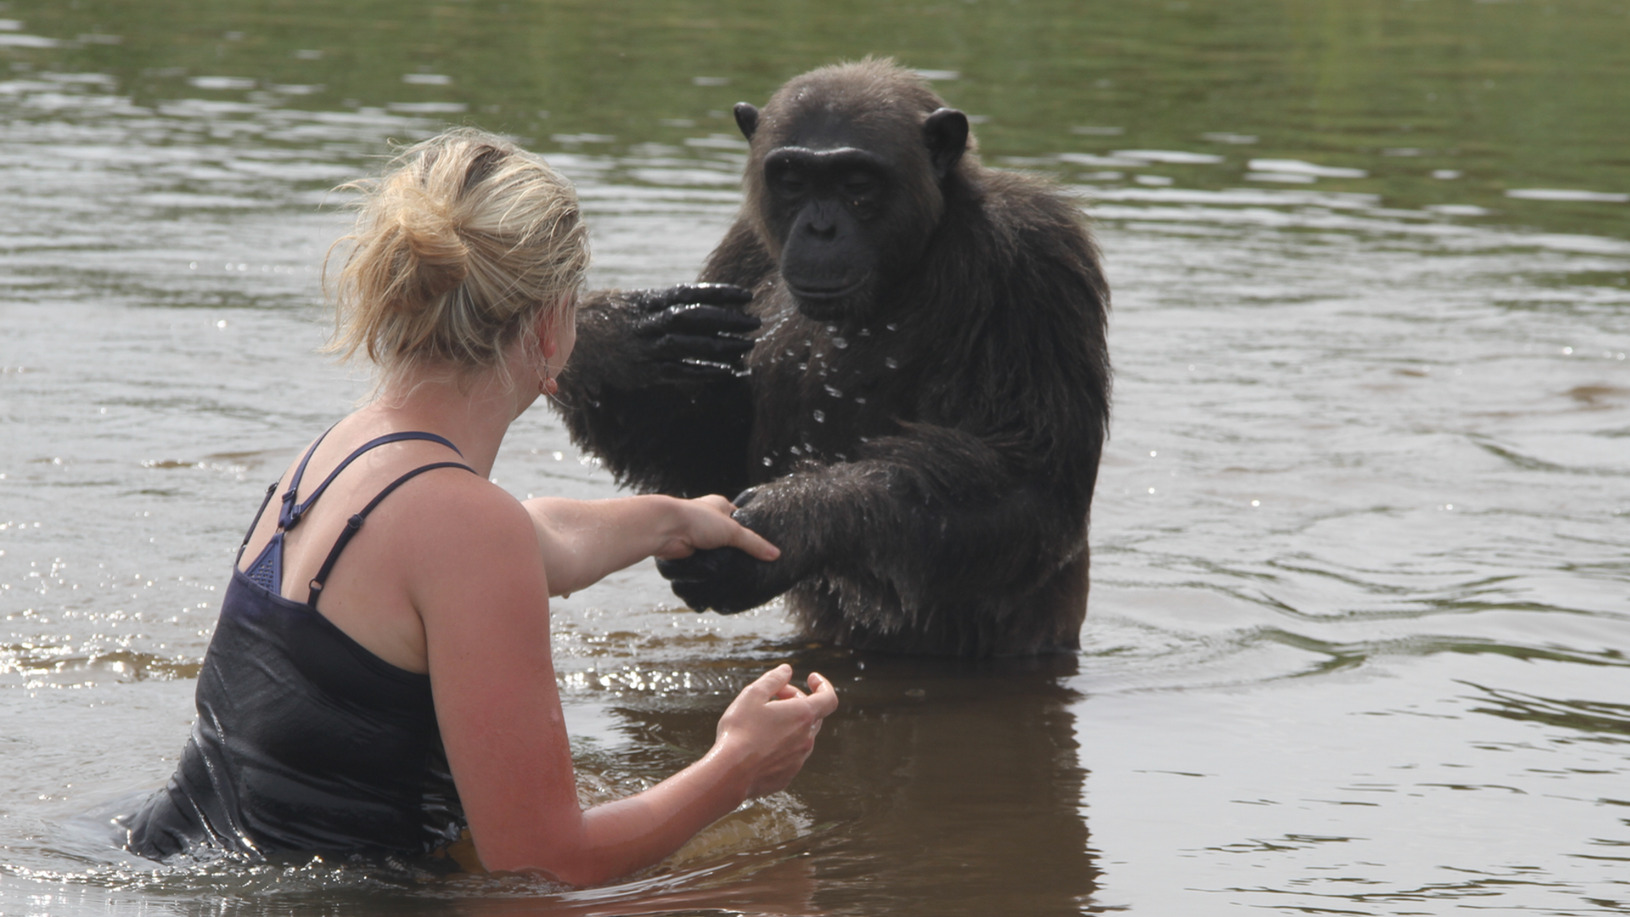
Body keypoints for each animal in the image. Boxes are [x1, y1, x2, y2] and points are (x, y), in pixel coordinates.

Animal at [557, 57, 1108, 658]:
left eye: (857, 183)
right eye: (794, 180)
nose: (821, 228)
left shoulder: (1036, 261)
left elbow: (1028, 478)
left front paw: (791, 520)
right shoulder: (745, 243)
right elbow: (709, 453)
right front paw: (619, 341)